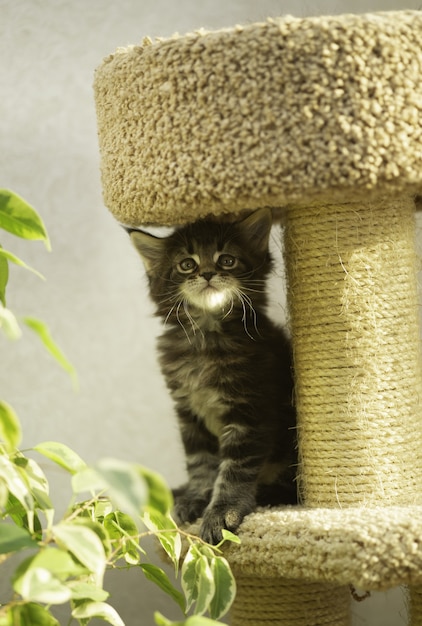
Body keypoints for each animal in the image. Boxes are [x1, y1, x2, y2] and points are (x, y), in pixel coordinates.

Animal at [129, 208, 296, 540]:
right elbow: (201, 463)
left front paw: (222, 513)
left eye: (227, 260)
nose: (206, 274)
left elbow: (234, 470)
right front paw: (195, 498)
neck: (205, 338)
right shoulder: (188, 412)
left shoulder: (250, 411)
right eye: (187, 264)